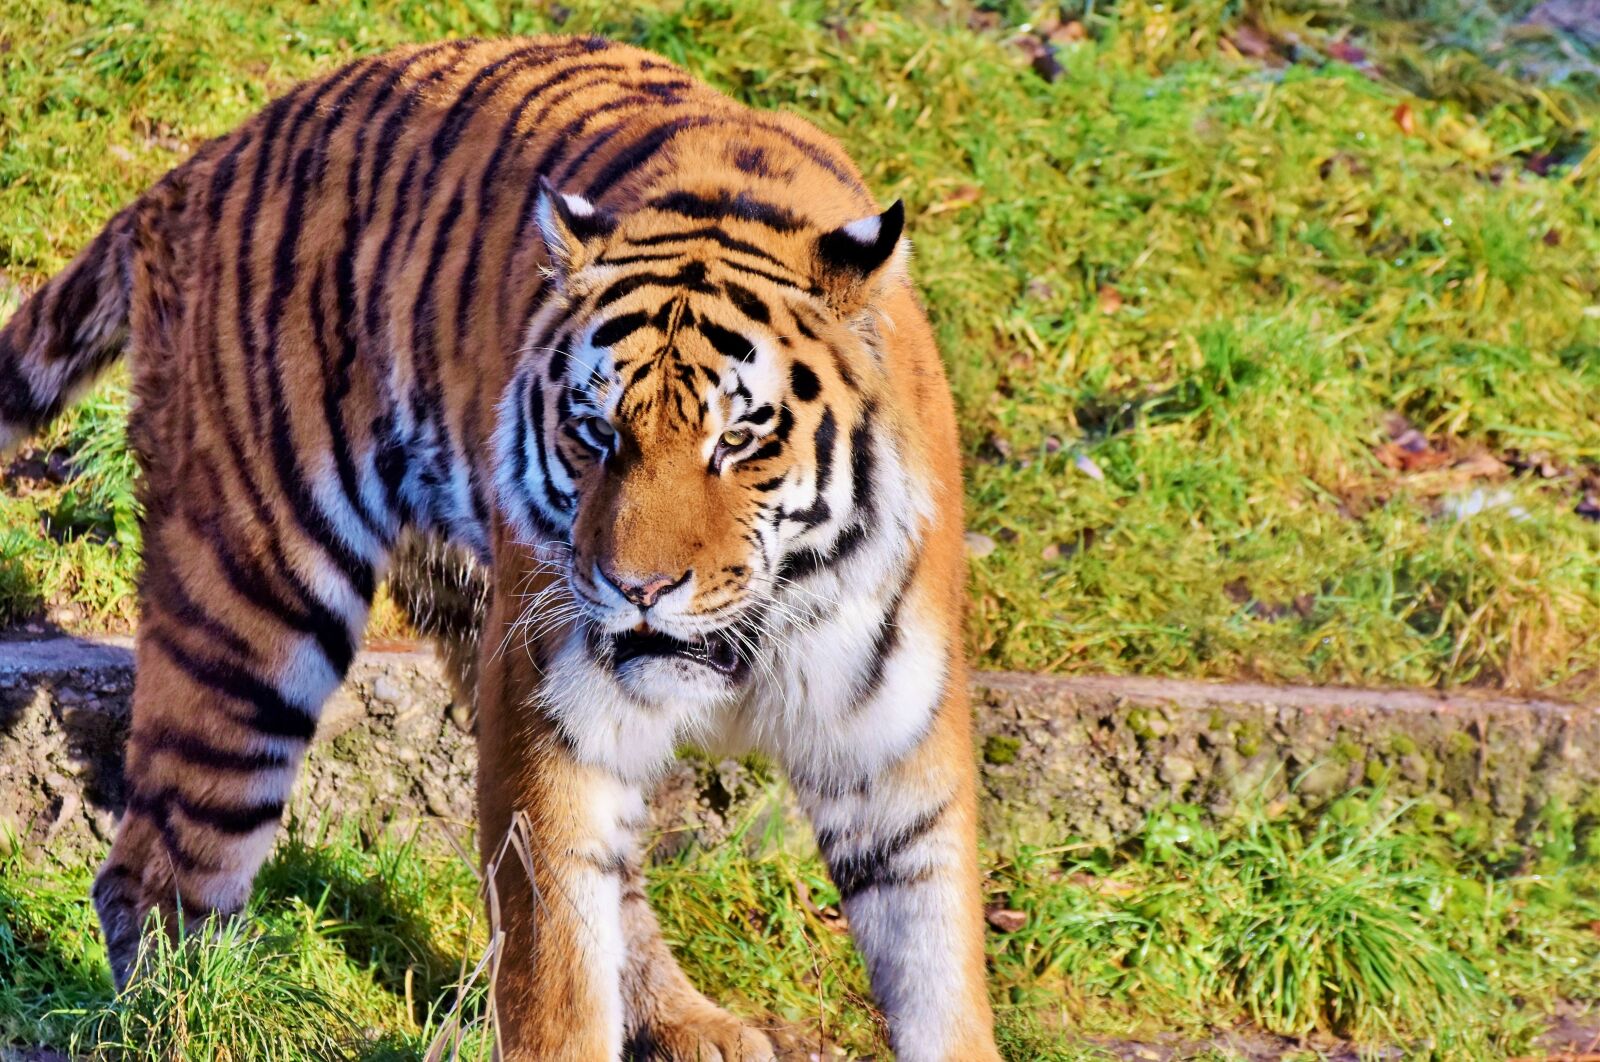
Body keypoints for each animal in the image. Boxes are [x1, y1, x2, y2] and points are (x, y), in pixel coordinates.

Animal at [0, 36, 998, 1061]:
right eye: (598, 433)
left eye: (739, 439)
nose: (639, 588)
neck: (754, 637)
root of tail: (203, 165)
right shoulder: (550, 721)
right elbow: (555, 974)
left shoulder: (897, 760)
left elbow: (940, 971)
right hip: (252, 611)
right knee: (153, 876)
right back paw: (197, 1026)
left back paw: (689, 1023)